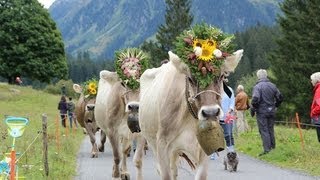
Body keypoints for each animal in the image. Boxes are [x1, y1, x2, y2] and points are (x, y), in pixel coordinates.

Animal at [138, 47, 242, 179]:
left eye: (221, 76)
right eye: (191, 79)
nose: (211, 112)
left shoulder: (203, 148)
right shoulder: (162, 145)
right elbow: (165, 174)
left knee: (174, 170)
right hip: (153, 144)